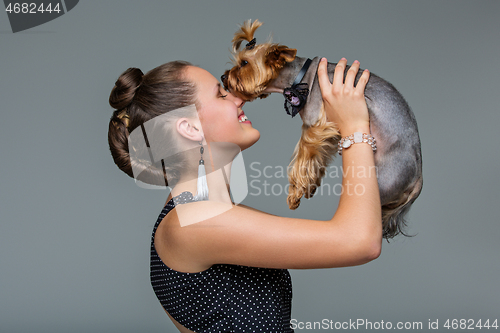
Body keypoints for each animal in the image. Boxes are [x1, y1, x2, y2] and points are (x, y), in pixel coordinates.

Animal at [223, 20, 422, 239]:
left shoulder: (314, 125)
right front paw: (309, 186)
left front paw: (295, 193)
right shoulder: (328, 132)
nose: (223, 77)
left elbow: (303, 158)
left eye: (244, 63)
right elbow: (318, 157)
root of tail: (418, 180)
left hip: (380, 181)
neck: (298, 76)